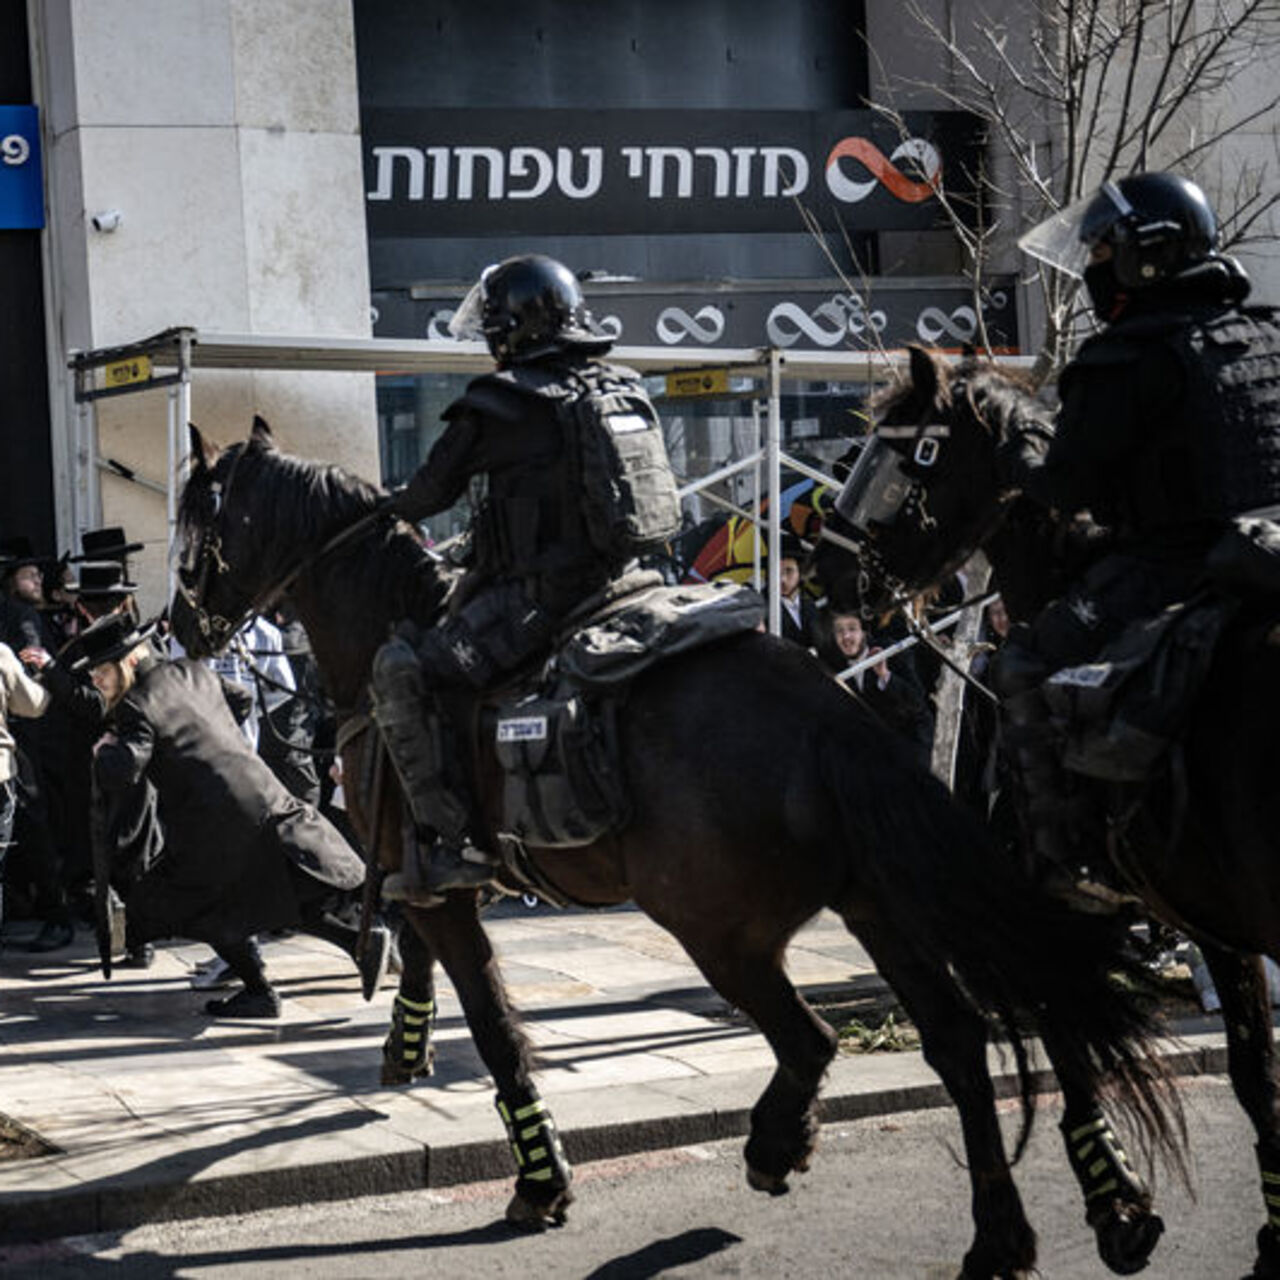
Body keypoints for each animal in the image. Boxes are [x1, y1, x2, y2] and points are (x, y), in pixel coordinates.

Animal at [175, 419, 1182, 1280]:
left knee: (815, 1039)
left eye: (195, 521)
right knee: (961, 1039)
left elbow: (494, 1026)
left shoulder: (438, 875)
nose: (180, 629)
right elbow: (418, 945)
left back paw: (781, 1144)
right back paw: (1018, 1230)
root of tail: (821, 710)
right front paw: (405, 1042)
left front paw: (539, 1177)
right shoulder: (425, 868)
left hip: (721, 930)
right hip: (876, 903)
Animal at [814, 343, 1280, 1280]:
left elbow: (1070, 1036)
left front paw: (1114, 1201)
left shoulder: (1056, 899)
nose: (823, 572)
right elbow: (1254, 1069)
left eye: (897, 457)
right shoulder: (1216, 919)